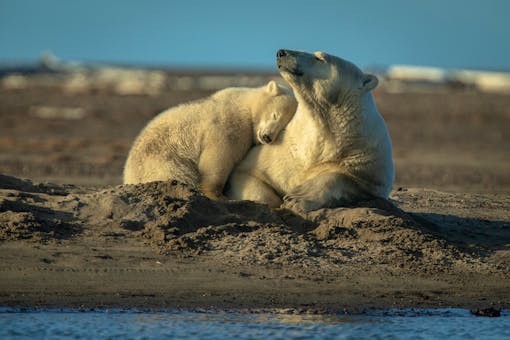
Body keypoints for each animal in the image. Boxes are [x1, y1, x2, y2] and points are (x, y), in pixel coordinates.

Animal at [123, 80, 296, 199]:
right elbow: (218, 158)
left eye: (283, 127)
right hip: (163, 160)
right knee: (178, 174)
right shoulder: (227, 125)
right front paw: (217, 195)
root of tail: (128, 175)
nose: (267, 137)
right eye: (275, 115)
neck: (246, 105)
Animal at [225, 49, 396, 214]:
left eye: (319, 58)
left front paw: (297, 198)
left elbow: (343, 178)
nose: (281, 52)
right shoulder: (277, 155)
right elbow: (250, 175)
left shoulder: (369, 161)